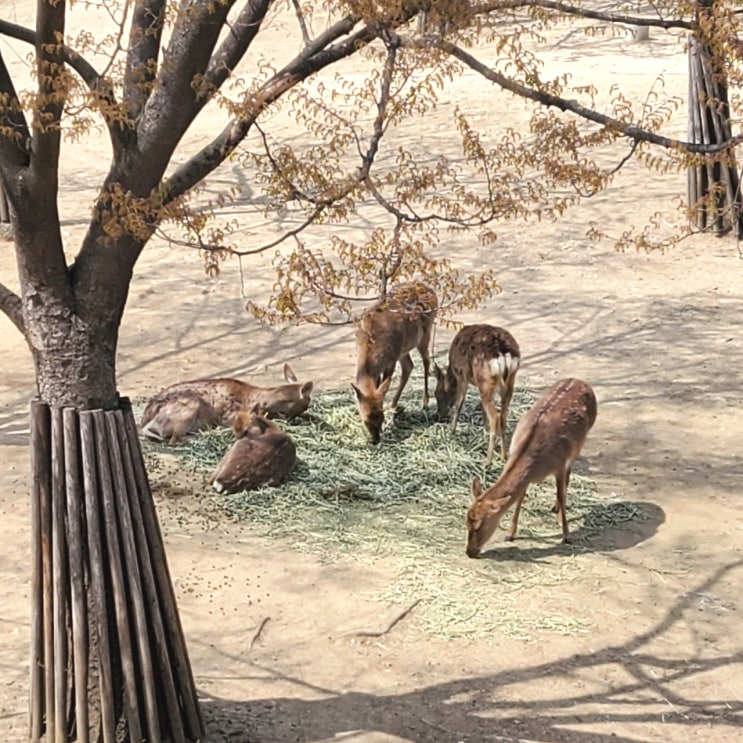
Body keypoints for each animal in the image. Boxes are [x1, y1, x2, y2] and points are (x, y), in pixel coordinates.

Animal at [142, 364, 314, 444]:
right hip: (188, 408)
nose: (304, 413)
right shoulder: (229, 417)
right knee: (175, 439)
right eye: (306, 404)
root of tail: (146, 421)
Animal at [352, 282, 438, 444]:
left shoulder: (391, 360)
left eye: (381, 418)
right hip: (404, 348)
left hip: (425, 331)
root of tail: (431, 290)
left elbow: (384, 385)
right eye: (366, 420)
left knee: (426, 361)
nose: (375, 440)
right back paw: (393, 405)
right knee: (409, 366)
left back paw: (424, 402)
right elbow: (379, 386)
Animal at [434, 324, 520, 464]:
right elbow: (481, 407)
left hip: (485, 381)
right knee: (503, 417)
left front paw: (451, 431)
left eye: (436, 394)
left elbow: (459, 404)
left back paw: (488, 461)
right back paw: (503, 456)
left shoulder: (462, 375)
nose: (439, 416)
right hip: (509, 383)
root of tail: (503, 355)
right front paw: (484, 432)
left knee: (495, 417)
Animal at [464, 378, 600, 560]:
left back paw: (558, 513)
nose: (469, 552)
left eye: (479, 526)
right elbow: (520, 498)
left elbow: (561, 494)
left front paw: (566, 535)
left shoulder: (559, 464)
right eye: (466, 522)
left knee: (568, 477)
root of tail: (580, 381)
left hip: (579, 444)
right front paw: (510, 534)